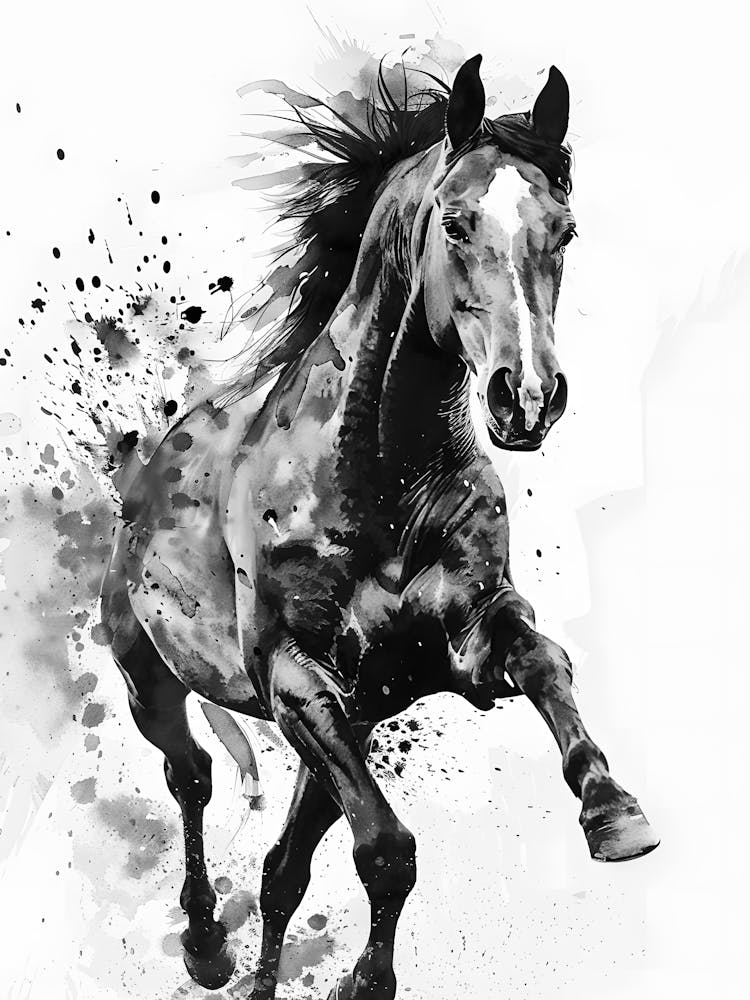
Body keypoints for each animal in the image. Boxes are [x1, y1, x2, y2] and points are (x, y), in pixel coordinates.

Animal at [100, 55, 659, 1000]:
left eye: (566, 229)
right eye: (457, 222)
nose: (528, 399)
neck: (374, 478)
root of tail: (152, 454)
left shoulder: (459, 649)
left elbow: (545, 657)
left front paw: (614, 811)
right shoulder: (294, 681)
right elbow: (389, 853)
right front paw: (363, 980)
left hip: (348, 725)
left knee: (282, 868)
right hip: (150, 676)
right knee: (191, 776)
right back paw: (206, 944)